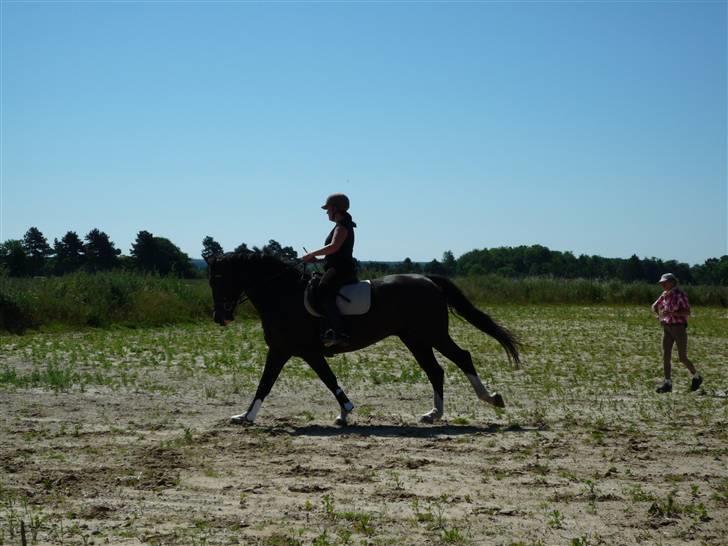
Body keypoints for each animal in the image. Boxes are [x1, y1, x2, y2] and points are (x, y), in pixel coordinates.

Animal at [208, 252, 520, 424]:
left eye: (219, 279)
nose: (219, 317)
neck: (283, 295)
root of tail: (427, 280)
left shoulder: (287, 349)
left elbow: (267, 383)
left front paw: (246, 417)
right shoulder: (301, 351)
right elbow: (328, 380)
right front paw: (345, 413)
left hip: (432, 334)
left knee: (461, 358)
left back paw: (491, 398)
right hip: (415, 339)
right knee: (436, 370)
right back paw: (433, 414)